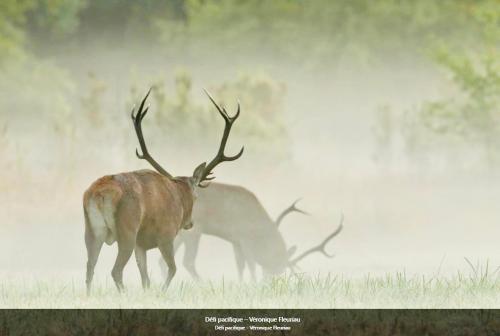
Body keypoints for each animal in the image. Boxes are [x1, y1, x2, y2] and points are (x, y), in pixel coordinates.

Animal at [83, 90, 243, 292]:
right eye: (197, 197)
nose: (190, 223)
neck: (179, 195)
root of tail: (100, 194)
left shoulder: (141, 244)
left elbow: (145, 278)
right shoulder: (165, 235)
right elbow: (172, 269)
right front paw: (162, 292)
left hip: (91, 231)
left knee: (89, 268)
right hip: (127, 230)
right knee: (116, 270)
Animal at [160, 182, 344, 280]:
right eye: (278, 266)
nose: (268, 282)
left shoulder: (235, 241)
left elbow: (240, 265)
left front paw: (242, 284)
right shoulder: (244, 238)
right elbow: (251, 264)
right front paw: (253, 284)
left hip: (179, 234)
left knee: (163, 261)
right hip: (194, 231)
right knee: (188, 261)